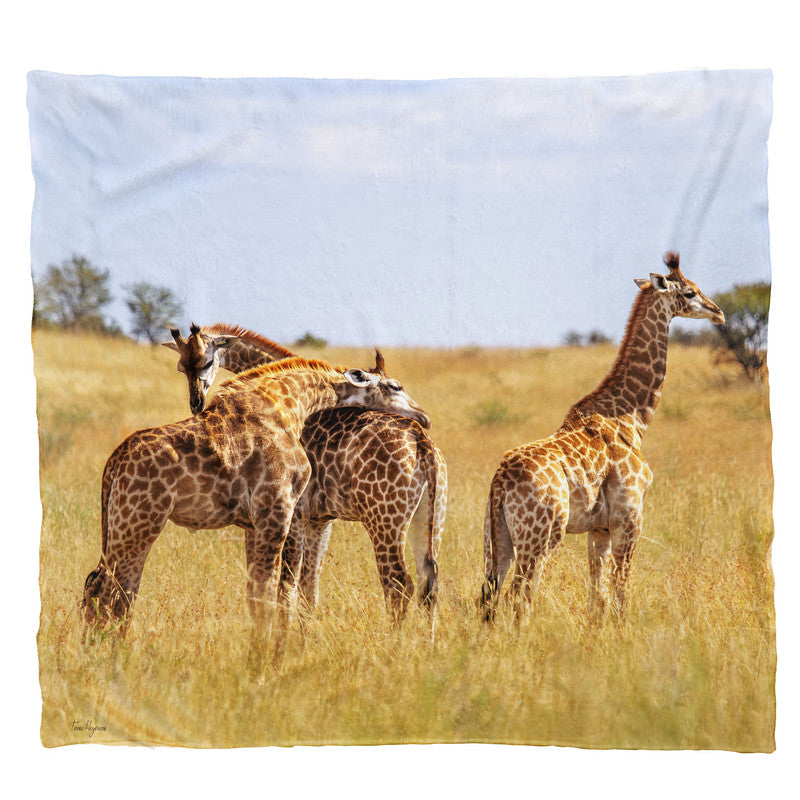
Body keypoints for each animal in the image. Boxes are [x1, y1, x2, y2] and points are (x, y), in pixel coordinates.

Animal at [81, 356, 431, 656]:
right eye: (395, 386)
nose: (424, 416)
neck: (290, 405)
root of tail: (114, 462)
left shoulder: (256, 522)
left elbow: (258, 596)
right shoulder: (278, 511)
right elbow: (272, 595)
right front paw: (264, 662)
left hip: (124, 524)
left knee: (104, 586)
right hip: (140, 522)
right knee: (111, 591)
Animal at [163, 324, 447, 632]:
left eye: (207, 362)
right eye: (182, 367)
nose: (197, 404)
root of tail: (422, 444)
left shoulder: (293, 514)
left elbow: (281, 588)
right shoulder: (320, 520)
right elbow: (308, 590)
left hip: (384, 521)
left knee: (398, 584)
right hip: (429, 519)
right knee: (428, 582)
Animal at [480, 252, 725, 623]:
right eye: (690, 292)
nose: (719, 313)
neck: (631, 419)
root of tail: (500, 482)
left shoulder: (599, 530)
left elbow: (598, 599)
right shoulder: (630, 518)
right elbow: (622, 593)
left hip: (499, 538)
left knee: (490, 600)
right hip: (541, 536)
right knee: (519, 599)